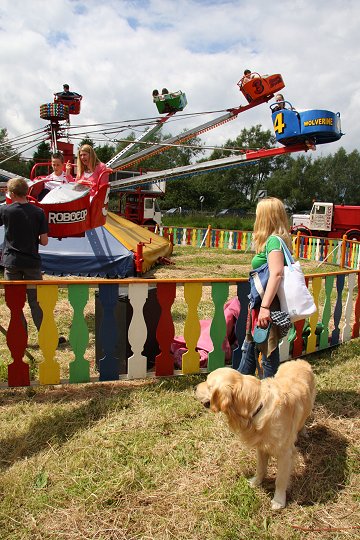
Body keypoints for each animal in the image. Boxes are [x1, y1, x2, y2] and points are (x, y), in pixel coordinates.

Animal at [194, 360, 316, 508]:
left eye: (208, 385)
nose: (194, 387)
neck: (256, 406)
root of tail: (300, 361)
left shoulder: (285, 453)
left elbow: (280, 480)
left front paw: (279, 500)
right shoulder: (261, 446)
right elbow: (261, 468)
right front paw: (256, 482)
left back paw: (303, 431)